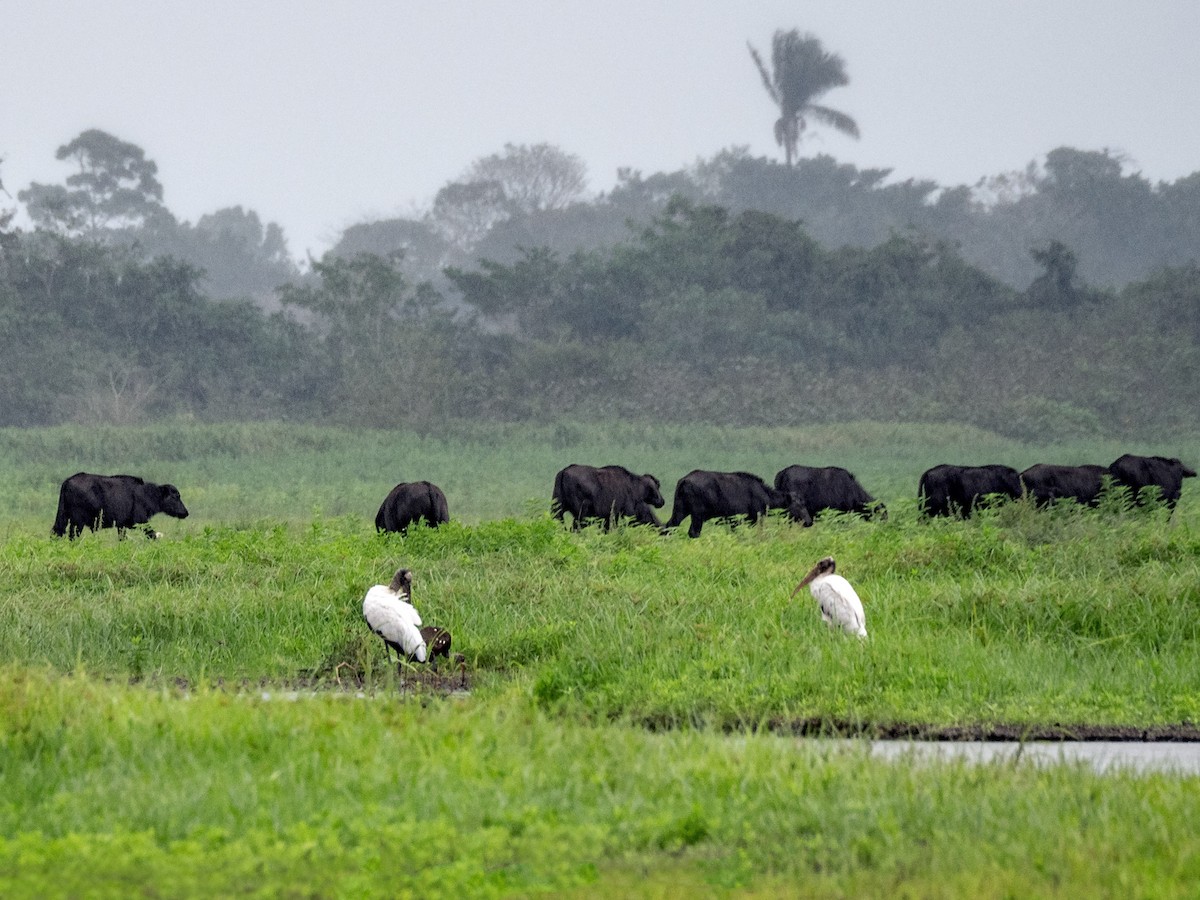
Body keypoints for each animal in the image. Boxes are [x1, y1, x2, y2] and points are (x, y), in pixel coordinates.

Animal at [50, 472, 188, 542]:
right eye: (175, 497)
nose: (186, 512)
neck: (146, 494)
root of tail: (68, 481)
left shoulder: (121, 525)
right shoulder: (141, 521)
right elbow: (152, 535)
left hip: (64, 518)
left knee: (56, 532)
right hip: (77, 522)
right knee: (72, 536)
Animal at [662, 468, 811, 540]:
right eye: (799, 505)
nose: (809, 521)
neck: (766, 497)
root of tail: (684, 481)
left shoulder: (733, 521)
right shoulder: (752, 518)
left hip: (680, 509)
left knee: (668, 527)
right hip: (697, 513)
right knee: (693, 532)